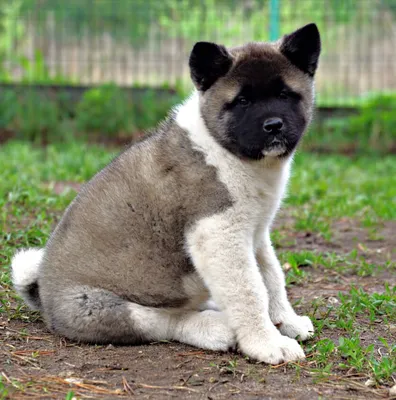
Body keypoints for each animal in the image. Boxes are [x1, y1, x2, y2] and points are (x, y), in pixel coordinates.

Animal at [11, 23, 322, 364]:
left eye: (284, 95)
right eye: (242, 102)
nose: (273, 125)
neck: (226, 151)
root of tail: (43, 293)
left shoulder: (255, 232)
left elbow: (271, 277)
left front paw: (286, 321)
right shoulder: (218, 233)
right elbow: (249, 290)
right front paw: (266, 342)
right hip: (103, 308)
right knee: (162, 320)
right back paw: (212, 327)